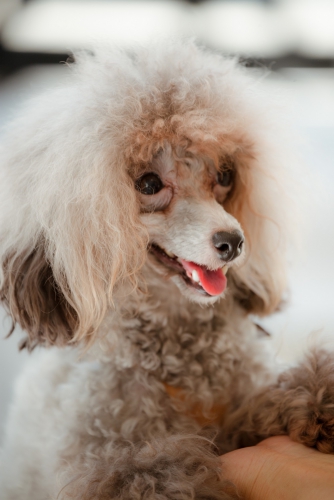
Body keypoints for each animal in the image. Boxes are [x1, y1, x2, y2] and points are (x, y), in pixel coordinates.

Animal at [0, 41, 332, 498]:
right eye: (149, 185)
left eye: (224, 176)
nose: (233, 242)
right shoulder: (112, 458)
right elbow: (155, 473)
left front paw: (314, 402)